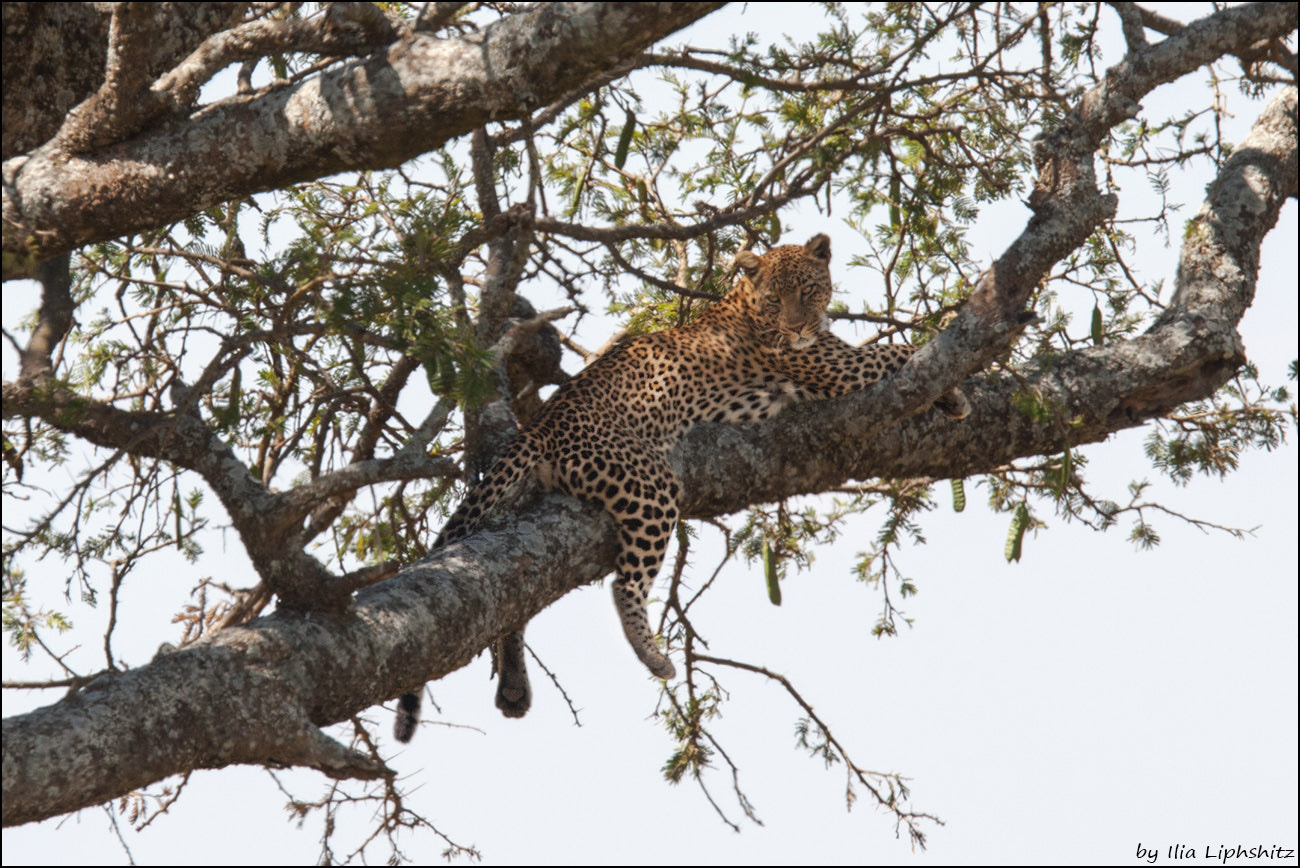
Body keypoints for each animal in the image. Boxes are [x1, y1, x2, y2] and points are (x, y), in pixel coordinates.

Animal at [390, 233, 972, 743]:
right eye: (776, 299)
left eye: (808, 290)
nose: (798, 327)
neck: (748, 308)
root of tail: (542, 424)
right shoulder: (836, 367)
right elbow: (901, 351)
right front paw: (956, 390)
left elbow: (902, 353)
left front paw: (949, 394)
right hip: (649, 484)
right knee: (623, 585)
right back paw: (652, 655)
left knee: (518, 600)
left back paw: (514, 685)